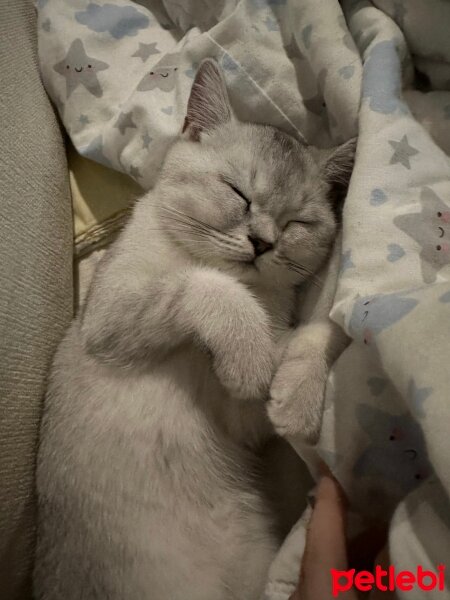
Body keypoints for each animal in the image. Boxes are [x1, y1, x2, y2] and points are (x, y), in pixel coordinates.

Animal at [33, 57, 356, 600]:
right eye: (238, 194)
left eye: (298, 223)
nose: (262, 242)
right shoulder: (110, 314)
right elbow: (208, 285)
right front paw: (249, 356)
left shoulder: (241, 419)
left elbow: (320, 332)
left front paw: (297, 397)